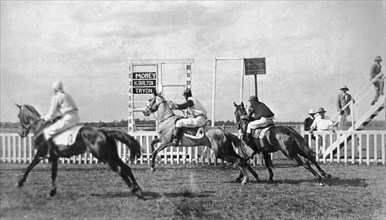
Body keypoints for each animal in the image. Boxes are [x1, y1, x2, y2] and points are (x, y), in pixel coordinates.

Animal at [14, 104, 145, 199]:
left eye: (18, 115)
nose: (21, 133)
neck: (41, 128)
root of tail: (105, 131)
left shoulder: (41, 154)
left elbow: (30, 166)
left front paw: (20, 182)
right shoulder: (54, 157)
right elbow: (53, 174)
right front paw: (52, 191)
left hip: (105, 157)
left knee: (120, 171)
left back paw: (134, 189)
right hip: (112, 156)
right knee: (126, 168)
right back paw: (139, 191)